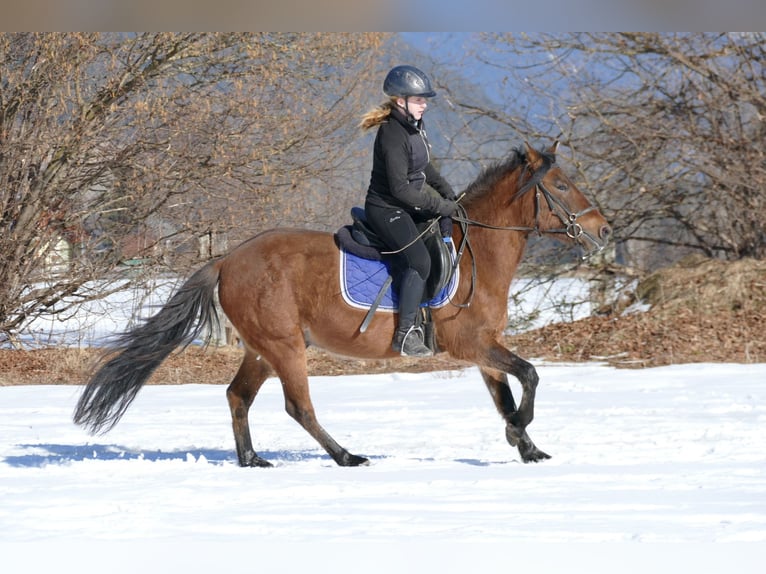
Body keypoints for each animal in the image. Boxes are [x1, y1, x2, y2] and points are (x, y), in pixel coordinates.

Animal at [72, 143, 612, 468]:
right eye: (561, 186)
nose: (604, 231)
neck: (476, 248)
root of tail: (226, 260)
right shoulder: (470, 344)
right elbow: (530, 377)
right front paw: (521, 435)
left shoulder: (484, 349)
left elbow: (507, 396)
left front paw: (528, 448)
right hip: (286, 347)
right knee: (297, 406)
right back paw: (345, 456)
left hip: (263, 349)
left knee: (237, 396)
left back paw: (252, 460)